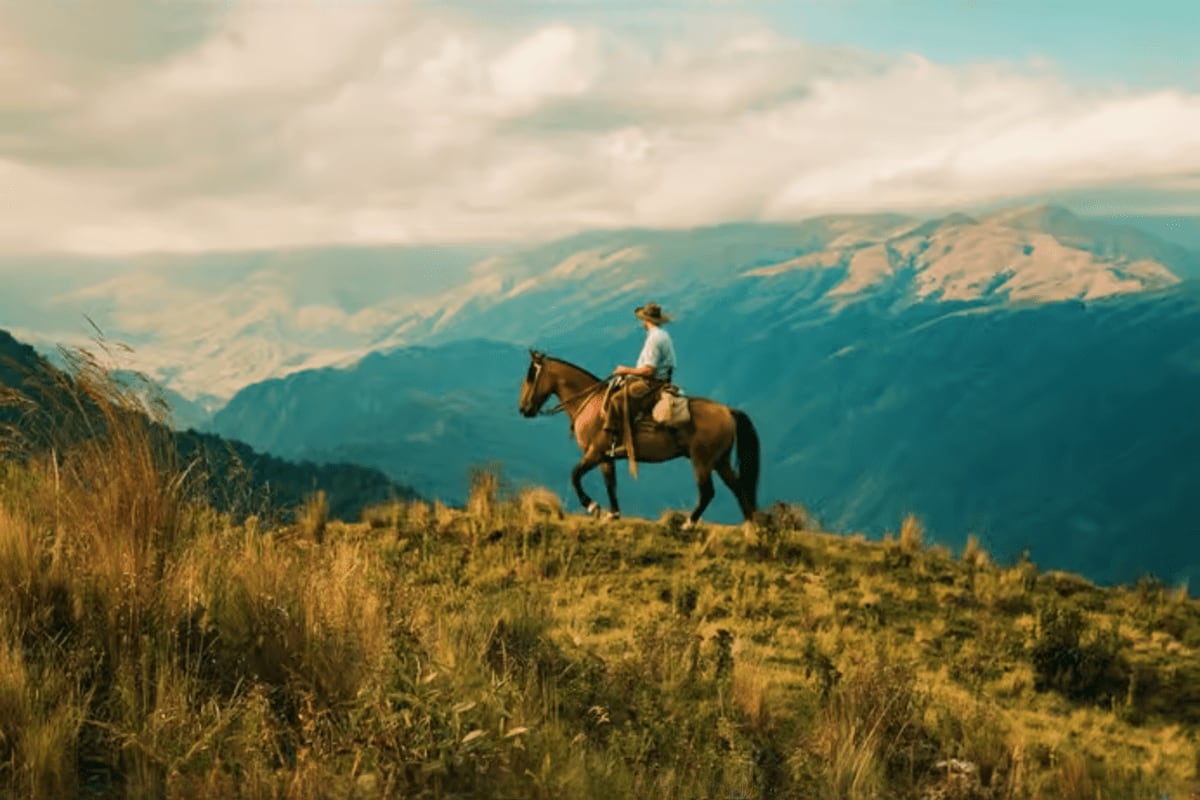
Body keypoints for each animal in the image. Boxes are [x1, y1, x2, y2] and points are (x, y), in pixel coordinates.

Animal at [517, 349, 760, 529]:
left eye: (531, 376)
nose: (523, 408)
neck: (591, 404)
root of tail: (727, 411)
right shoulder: (606, 457)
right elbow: (610, 484)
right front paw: (613, 514)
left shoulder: (594, 453)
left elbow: (575, 475)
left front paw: (593, 507)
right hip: (720, 460)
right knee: (737, 487)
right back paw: (749, 527)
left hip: (702, 460)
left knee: (708, 492)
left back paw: (689, 524)